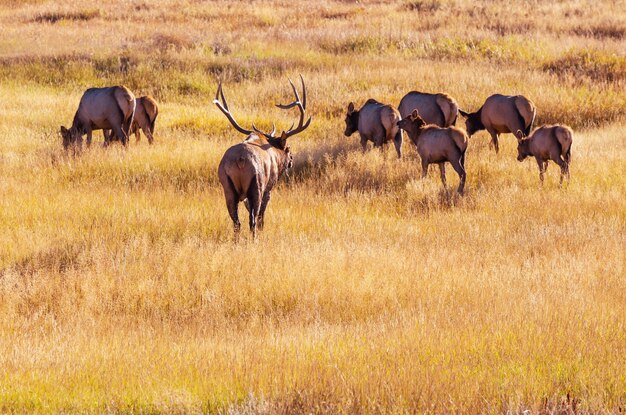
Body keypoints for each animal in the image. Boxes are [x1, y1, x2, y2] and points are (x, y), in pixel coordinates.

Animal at [214, 75, 310, 240]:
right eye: (288, 149)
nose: (291, 160)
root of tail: (240, 159)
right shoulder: (269, 186)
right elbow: (261, 216)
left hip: (227, 187)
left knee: (236, 222)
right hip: (257, 184)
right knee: (252, 219)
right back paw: (255, 240)